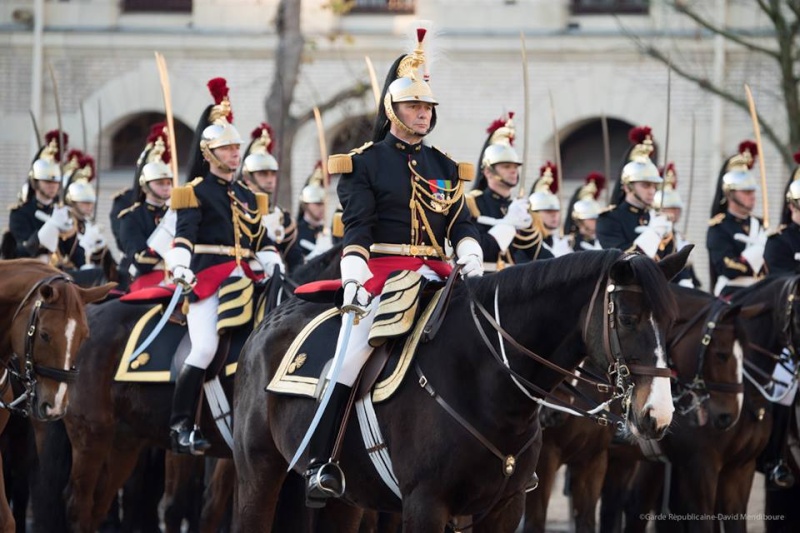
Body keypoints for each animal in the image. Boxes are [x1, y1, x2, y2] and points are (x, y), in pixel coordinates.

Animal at [233, 247, 692, 528]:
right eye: (628, 319)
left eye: (674, 321)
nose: (658, 415)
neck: (488, 387)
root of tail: (270, 320)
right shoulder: (425, 505)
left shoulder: (504, 508)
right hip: (258, 471)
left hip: (346, 500)